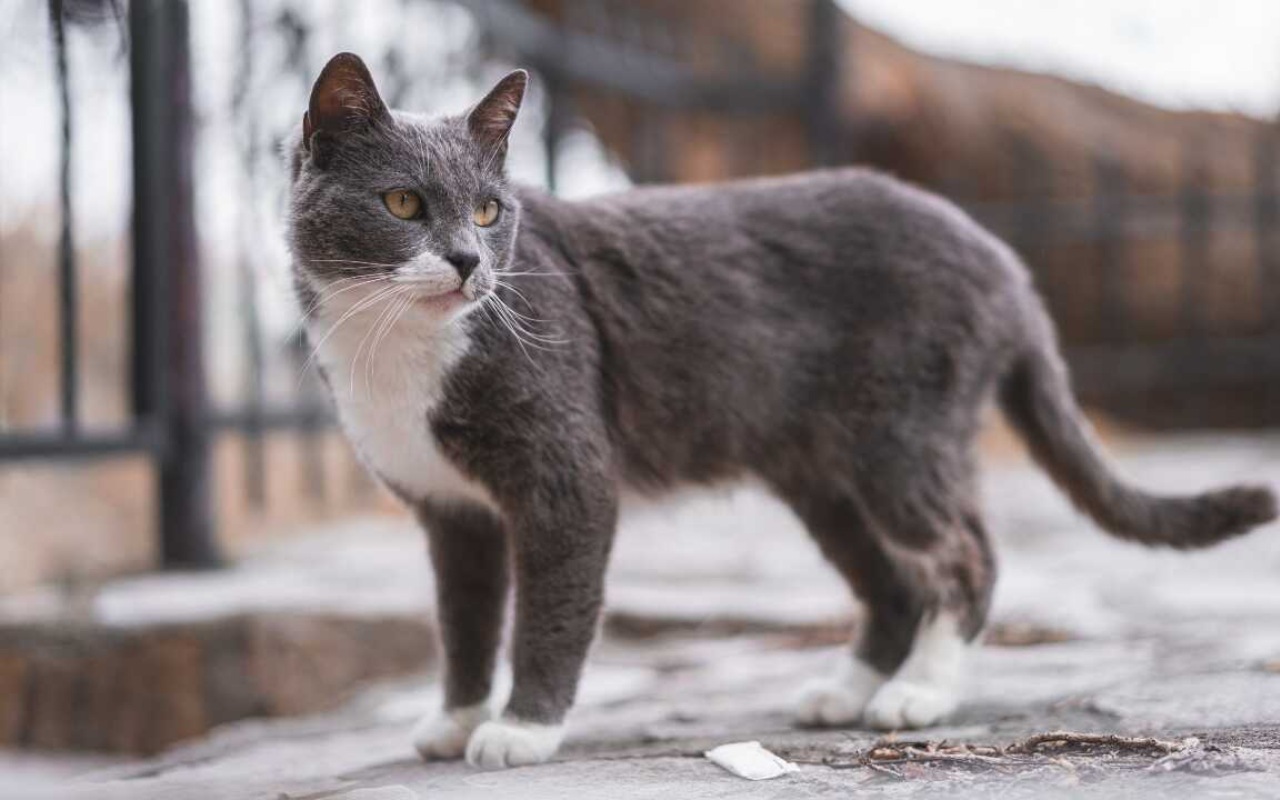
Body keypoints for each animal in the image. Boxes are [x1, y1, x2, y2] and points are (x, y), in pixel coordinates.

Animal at [285, 54, 1274, 768]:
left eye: (492, 212)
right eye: (404, 202)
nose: (467, 261)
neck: (395, 353)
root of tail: (1005, 260)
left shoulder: (566, 480)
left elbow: (550, 612)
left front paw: (523, 730)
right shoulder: (450, 510)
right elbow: (462, 620)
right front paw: (455, 720)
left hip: (902, 438)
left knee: (962, 554)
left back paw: (921, 692)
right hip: (822, 473)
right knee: (890, 580)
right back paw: (848, 690)